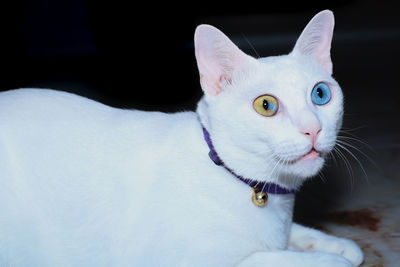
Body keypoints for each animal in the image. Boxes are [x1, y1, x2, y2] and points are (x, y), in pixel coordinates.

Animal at [0, 9, 362, 266]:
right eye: (266, 105)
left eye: (320, 94)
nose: (312, 128)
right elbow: (276, 258)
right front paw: (328, 259)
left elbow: (298, 239)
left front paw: (337, 245)